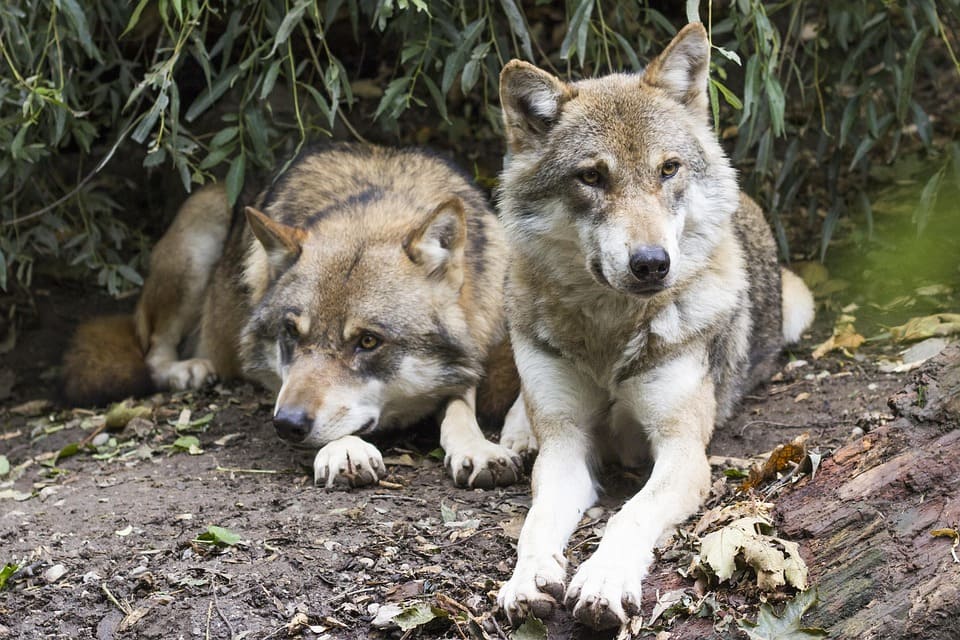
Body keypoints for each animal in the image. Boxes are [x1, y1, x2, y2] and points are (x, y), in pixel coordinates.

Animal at [63, 144, 534, 489]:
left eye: (367, 341)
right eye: (290, 332)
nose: (286, 424)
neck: (377, 200)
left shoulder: (480, 348)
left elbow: (462, 404)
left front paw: (479, 448)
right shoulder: (279, 382)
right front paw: (346, 449)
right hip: (198, 235)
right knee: (152, 349)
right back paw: (188, 370)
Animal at [494, 23, 815, 629]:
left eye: (668, 169)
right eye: (592, 177)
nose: (651, 264)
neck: (609, 333)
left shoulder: (683, 450)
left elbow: (630, 515)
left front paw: (603, 581)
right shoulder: (566, 446)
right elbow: (536, 523)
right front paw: (526, 580)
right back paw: (514, 437)